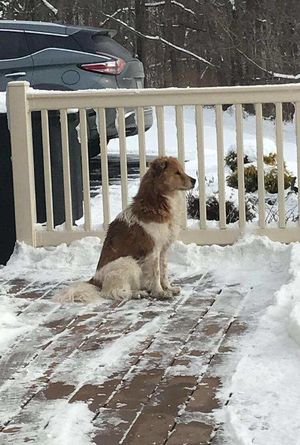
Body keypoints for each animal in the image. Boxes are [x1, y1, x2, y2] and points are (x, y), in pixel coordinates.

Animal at [56, 154, 196, 304]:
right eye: (177, 173)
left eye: (182, 171)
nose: (194, 180)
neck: (156, 202)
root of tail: (95, 280)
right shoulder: (153, 250)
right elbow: (156, 273)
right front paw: (159, 292)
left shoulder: (163, 249)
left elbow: (164, 271)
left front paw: (168, 288)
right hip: (128, 262)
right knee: (112, 292)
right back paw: (137, 293)